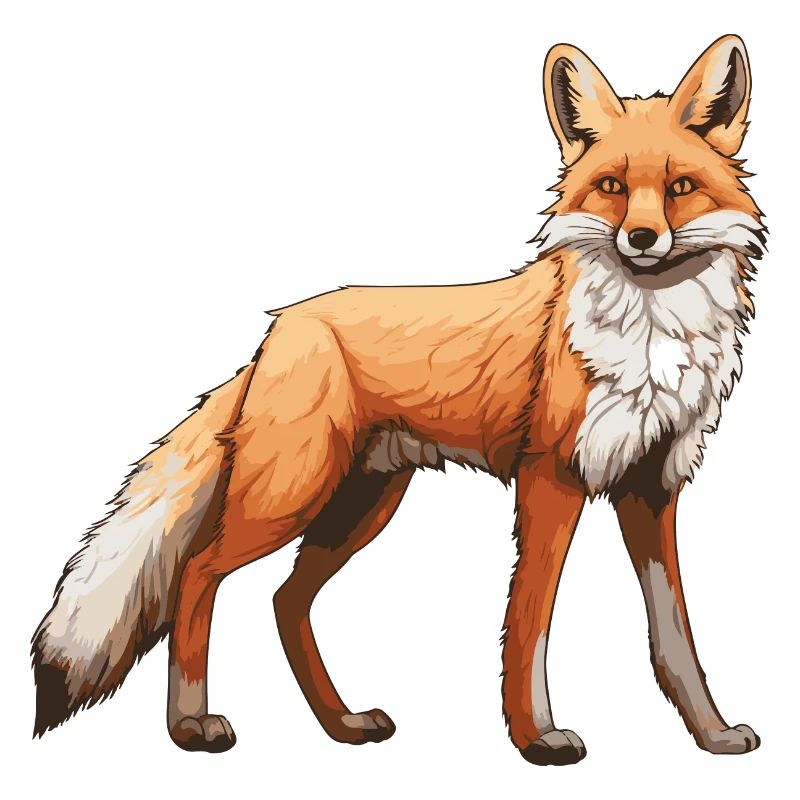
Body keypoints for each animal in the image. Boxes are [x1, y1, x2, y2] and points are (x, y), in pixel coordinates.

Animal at [32, 35, 766, 765]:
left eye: (679, 188)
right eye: (612, 187)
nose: (641, 239)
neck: (650, 336)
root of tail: (281, 325)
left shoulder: (651, 486)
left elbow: (676, 637)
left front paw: (713, 735)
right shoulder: (551, 478)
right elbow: (531, 623)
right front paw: (535, 737)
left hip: (361, 504)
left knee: (285, 600)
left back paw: (342, 724)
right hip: (288, 496)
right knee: (197, 572)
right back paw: (190, 724)